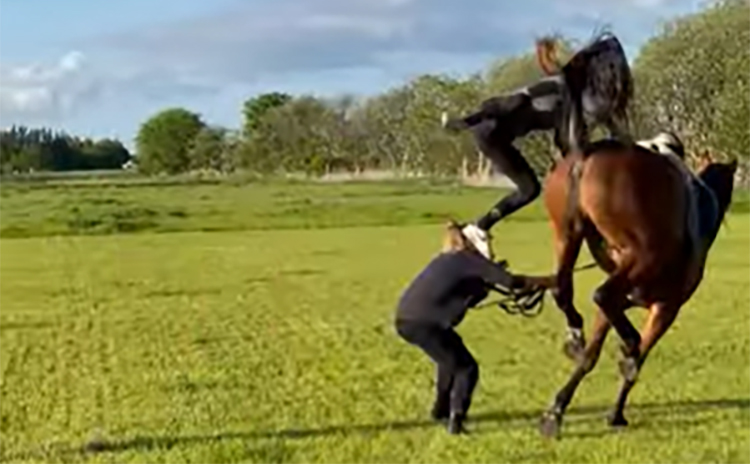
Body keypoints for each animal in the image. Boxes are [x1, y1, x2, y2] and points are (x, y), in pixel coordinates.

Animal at [540, 139, 740, 438]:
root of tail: (589, 155)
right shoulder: (666, 309)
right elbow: (638, 357)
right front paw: (616, 409)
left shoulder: (623, 305)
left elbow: (591, 355)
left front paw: (556, 410)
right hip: (641, 254)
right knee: (601, 294)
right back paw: (630, 343)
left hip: (567, 235)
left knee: (564, 290)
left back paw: (577, 337)